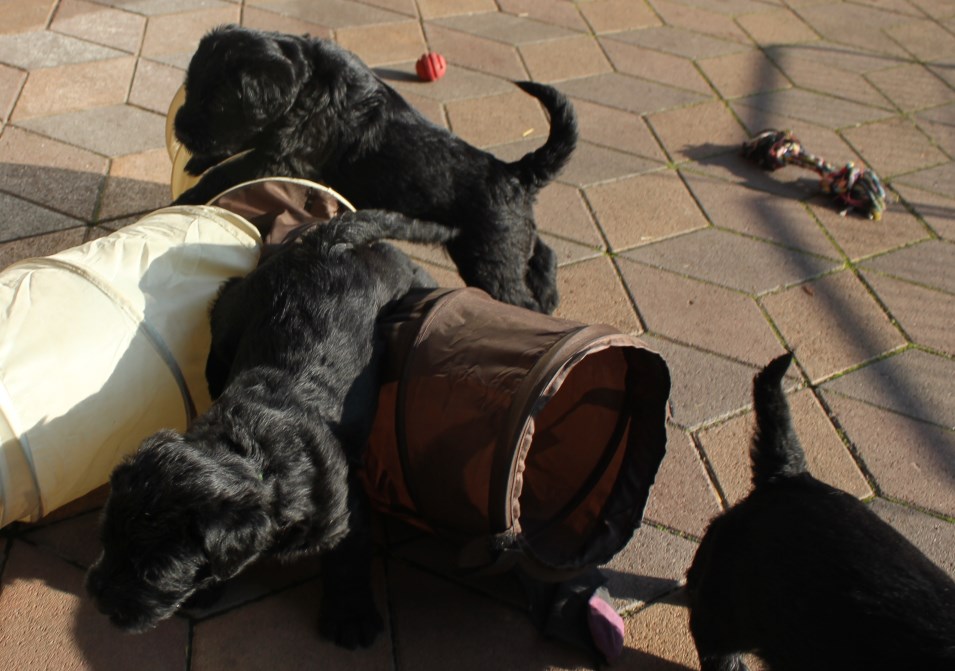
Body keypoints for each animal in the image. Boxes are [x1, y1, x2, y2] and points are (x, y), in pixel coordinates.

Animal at [86, 210, 436, 644]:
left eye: (152, 573)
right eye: (105, 540)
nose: (97, 599)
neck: (253, 456)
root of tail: (327, 240)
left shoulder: (344, 510)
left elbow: (347, 558)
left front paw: (350, 620)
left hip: (402, 276)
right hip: (234, 312)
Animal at [172, 23, 580, 312]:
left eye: (215, 104)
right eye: (189, 88)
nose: (179, 127)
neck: (305, 82)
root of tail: (516, 173)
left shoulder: (283, 156)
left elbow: (230, 169)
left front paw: (189, 195)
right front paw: (197, 163)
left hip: (489, 257)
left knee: (518, 291)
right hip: (509, 237)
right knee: (542, 249)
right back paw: (549, 294)